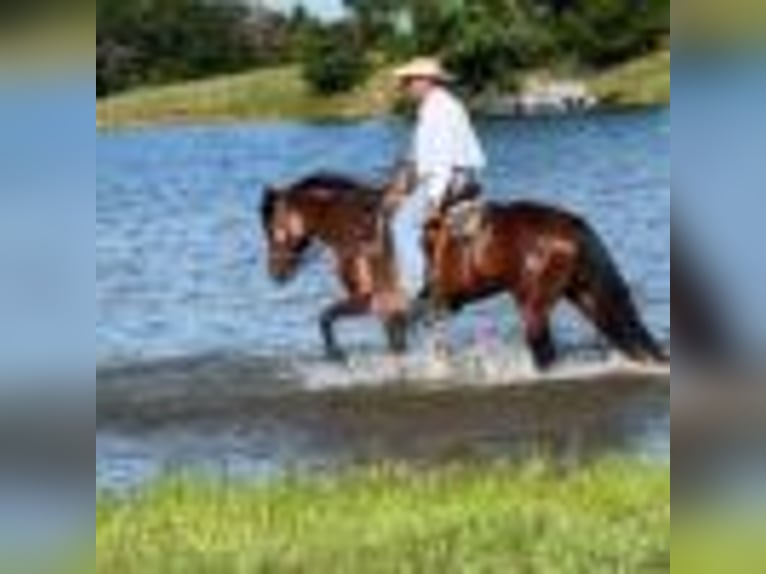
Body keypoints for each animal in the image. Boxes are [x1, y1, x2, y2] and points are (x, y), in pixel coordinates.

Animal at [260, 170, 667, 370]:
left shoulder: (376, 301)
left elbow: (326, 316)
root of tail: (570, 224)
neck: (360, 231)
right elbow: (397, 349)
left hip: (534, 303)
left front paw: (337, 356)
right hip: (582, 293)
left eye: (272, 226)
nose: (275, 272)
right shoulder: (395, 313)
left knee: (544, 352)